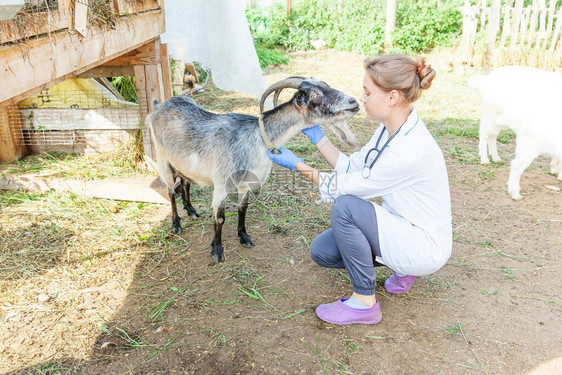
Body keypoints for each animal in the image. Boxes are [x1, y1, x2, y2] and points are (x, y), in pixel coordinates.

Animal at [147, 77, 356, 262]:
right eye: (314, 94)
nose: (353, 101)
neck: (257, 140)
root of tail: (159, 106)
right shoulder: (221, 184)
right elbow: (220, 218)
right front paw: (217, 250)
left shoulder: (245, 183)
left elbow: (243, 208)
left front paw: (244, 237)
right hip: (162, 156)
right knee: (171, 190)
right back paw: (176, 224)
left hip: (181, 161)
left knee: (184, 181)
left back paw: (190, 209)